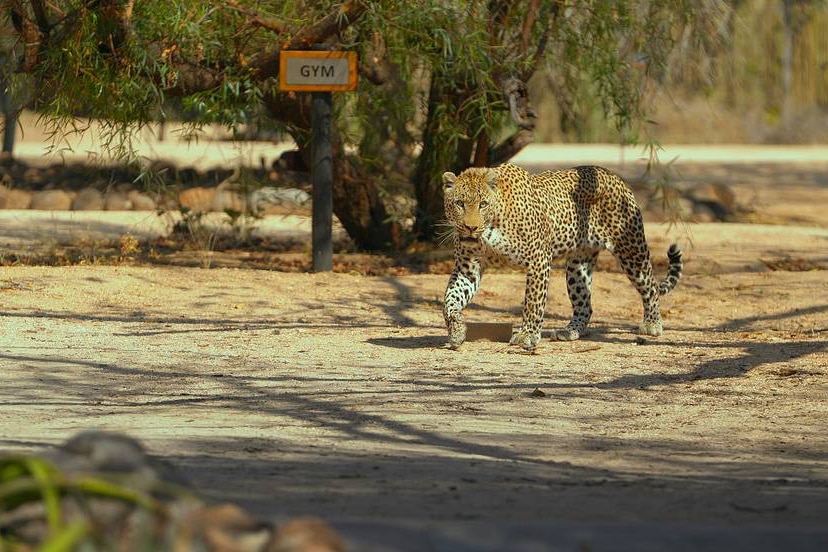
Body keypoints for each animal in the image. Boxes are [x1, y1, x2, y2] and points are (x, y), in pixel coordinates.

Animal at [444, 163, 684, 350]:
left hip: (631, 249)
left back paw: (652, 324)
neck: (490, 230)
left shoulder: (538, 260)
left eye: (483, 204)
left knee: (650, 286)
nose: (470, 228)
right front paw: (457, 331)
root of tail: (613, 175)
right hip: (578, 266)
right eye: (459, 203)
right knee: (585, 305)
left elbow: (533, 301)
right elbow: (450, 300)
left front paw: (527, 335)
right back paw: (570, 331)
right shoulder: (467, 268)